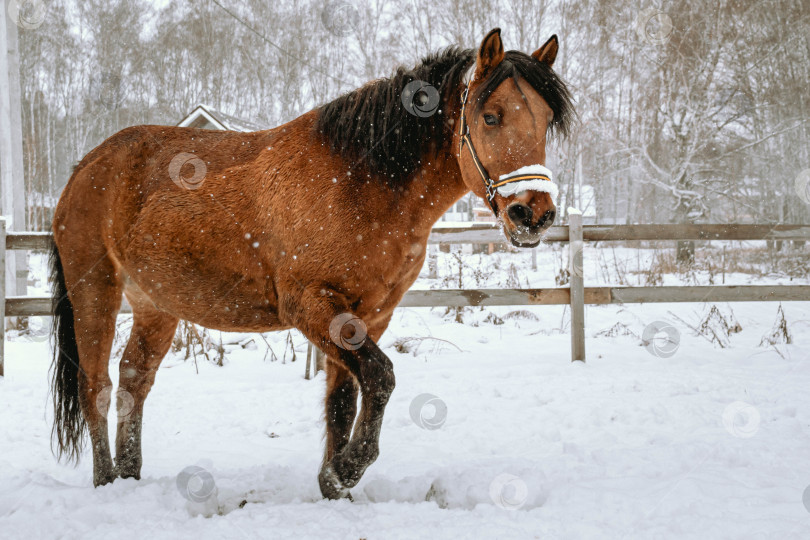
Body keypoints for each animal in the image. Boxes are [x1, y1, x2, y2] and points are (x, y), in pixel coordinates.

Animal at [49, 27, 573, 499]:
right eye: (490, 116)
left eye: (546, 119)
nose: (534, 213)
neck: (360, 181)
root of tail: (85, 167)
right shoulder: (312, 307)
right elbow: (381, 378)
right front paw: (348, 469)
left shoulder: (371, 315)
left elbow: (344, 399)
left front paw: (334, 485)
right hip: (95, 292)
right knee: (95, 386)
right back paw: (107, 483)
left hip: (155, 305)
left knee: (134, 380)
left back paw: (130, 476)